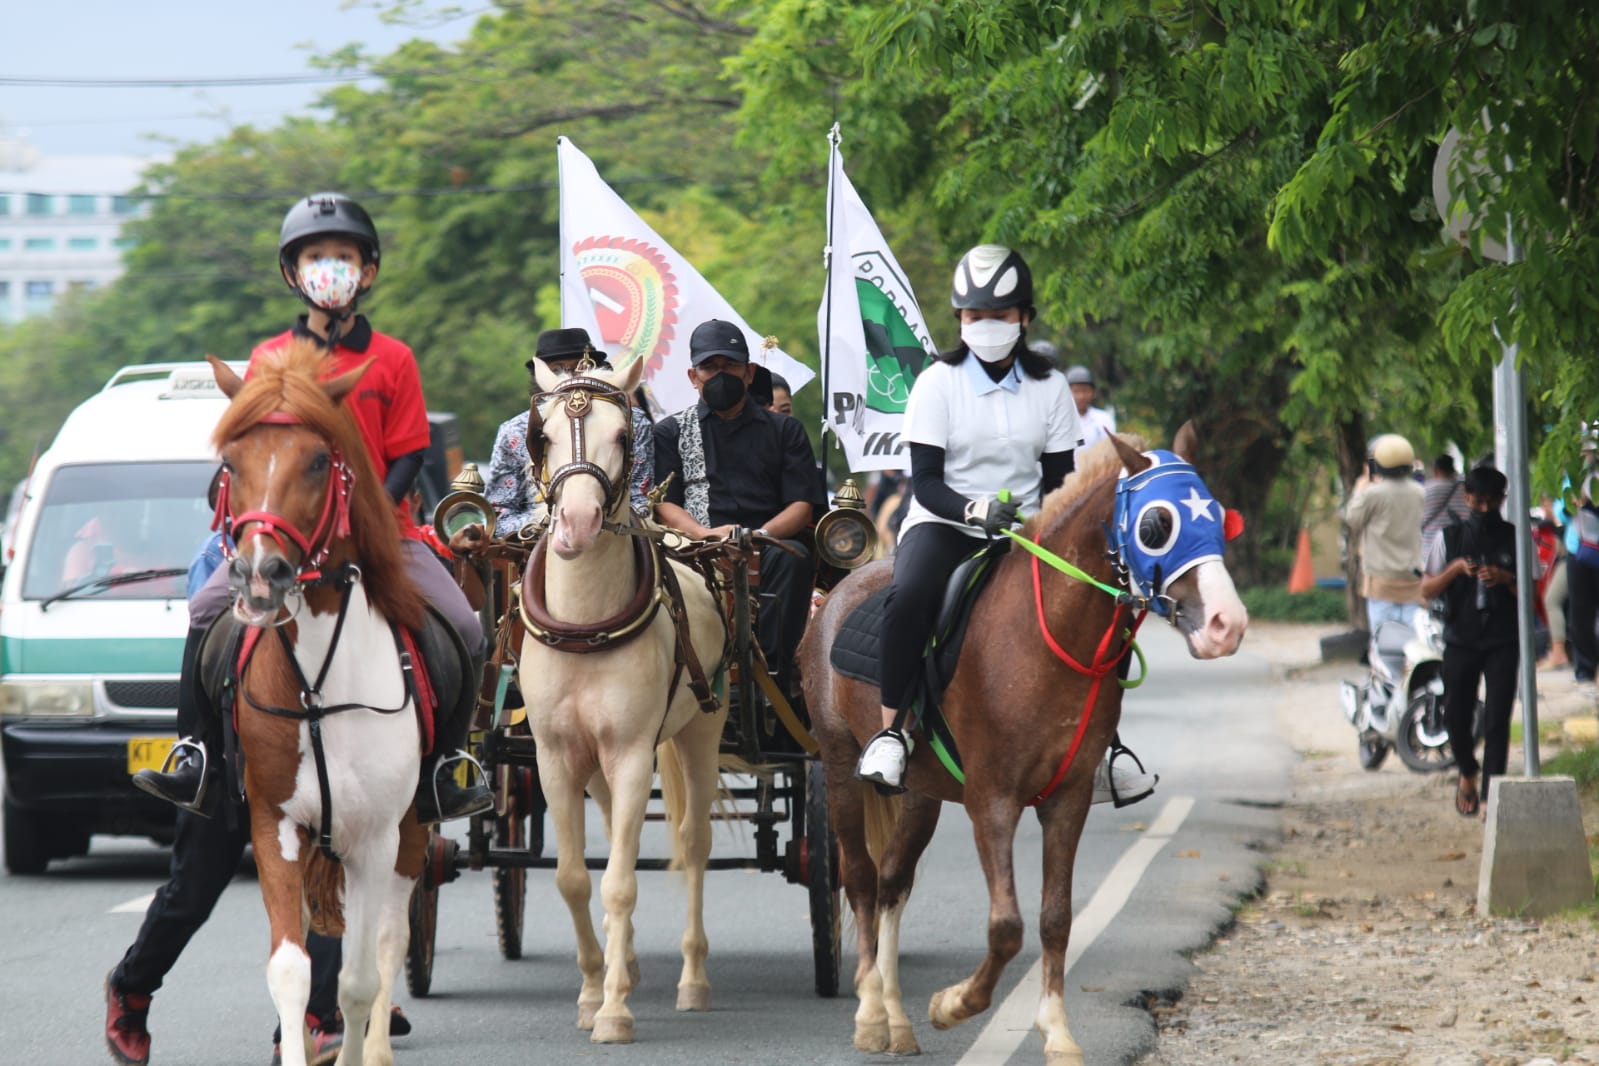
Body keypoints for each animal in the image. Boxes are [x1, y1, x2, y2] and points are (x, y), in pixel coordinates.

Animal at [209, 343, 428, 1066]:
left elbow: (360, 978)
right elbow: (292, 967)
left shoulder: (377, 836)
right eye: (230, 463)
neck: (316, 691)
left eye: (314, 460)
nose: (260, 575)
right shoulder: (275, 826)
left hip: (411, 835)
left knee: (388, 939)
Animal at [521, 356, 729, 1042]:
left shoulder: (637, 751)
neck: (586, 623)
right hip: (596, 762)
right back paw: (628, 962)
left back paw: (693, 979)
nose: (578, 522)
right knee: (616, 830)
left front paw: (613, 1011)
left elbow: (618, 882)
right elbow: (574, 879)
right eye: (542, 436)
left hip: (701, 729)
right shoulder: (556, 756)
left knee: (693, 843)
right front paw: (593, 992)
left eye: (622, 435)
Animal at [799, 421, 1247, 1061]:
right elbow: (1006, 926)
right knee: (859, 877)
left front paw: (1056, 1031)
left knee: (892, 883)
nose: (1225, 624)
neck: (1046, 636)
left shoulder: (1068, 799)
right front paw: (953, 1005)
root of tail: (838, 587)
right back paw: (868, 1011)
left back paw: (895, 1017)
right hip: (837, 766)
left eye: (1217, 514)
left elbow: (1055, 917)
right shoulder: (993, 800)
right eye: (1156, 525)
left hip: (920, 795)